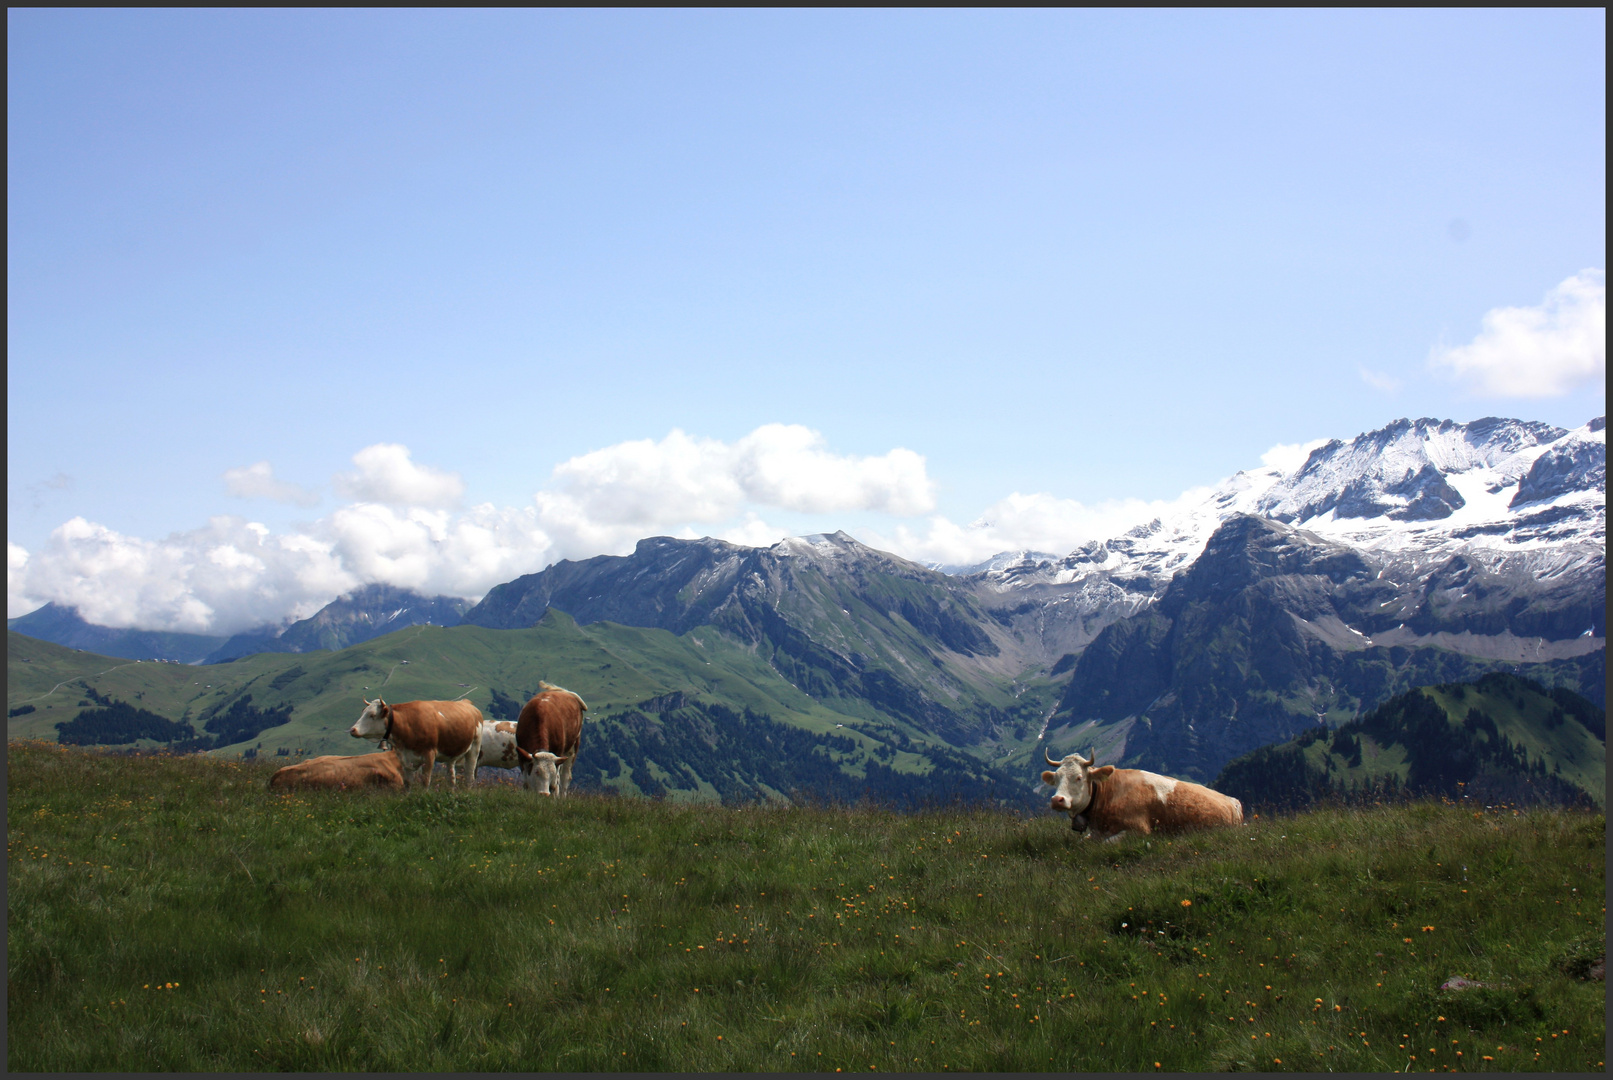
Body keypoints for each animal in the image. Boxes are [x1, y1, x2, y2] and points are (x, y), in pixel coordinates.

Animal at [350, 699, 480, 789]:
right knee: (451, 777)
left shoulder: (429, 754)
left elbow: (425, 781)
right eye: (363, 712)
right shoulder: (404, 758)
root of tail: (468, 703)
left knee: (469, 775)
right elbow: (407, 783)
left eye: (372, 715)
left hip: (474, 748)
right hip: (451, 754)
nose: (352, 730)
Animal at [1038, 747, 1238, 844]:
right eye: (1056, 778)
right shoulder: (1095, 832)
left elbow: (1106, 844)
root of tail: (1232, 800)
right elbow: (1082, 843)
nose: (1057, 800)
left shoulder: (1139, 830)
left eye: (1079, 777)